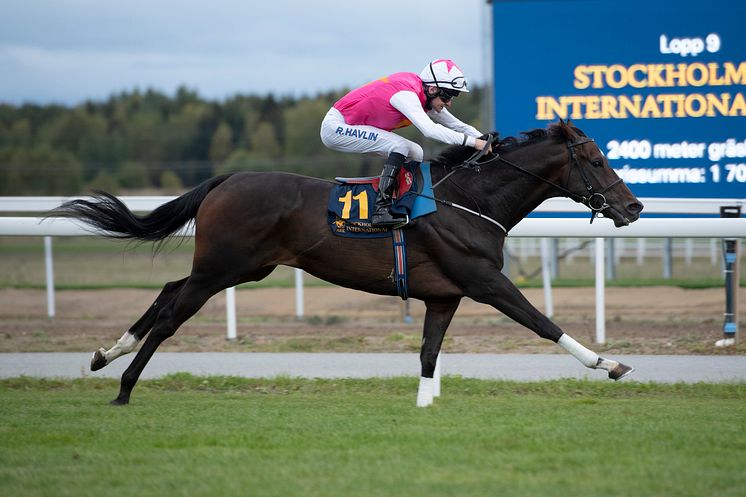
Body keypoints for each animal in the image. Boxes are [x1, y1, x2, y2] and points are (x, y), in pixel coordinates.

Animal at [55, 121, 644, 406]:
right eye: (597, 161)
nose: (635, 207)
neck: (470, 200)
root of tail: (227, 179)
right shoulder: (484, 281)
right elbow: (543, 323)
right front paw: (608, 363)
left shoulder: (444, 295)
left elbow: (429, 352)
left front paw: (425, 404)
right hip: (221, 269)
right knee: (172, 314)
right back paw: (124, 385)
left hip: (241, 268)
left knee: (167, 291)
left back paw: (106, 354)